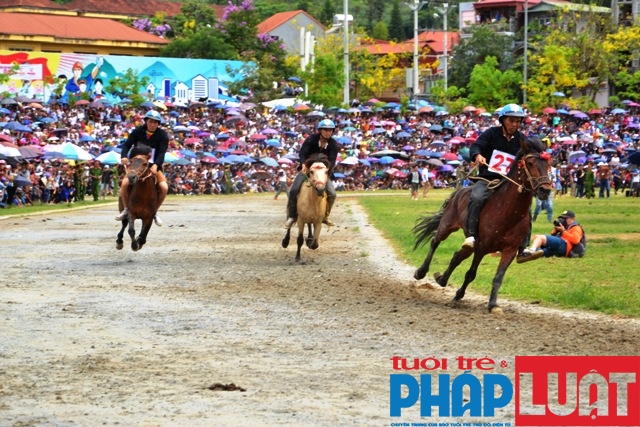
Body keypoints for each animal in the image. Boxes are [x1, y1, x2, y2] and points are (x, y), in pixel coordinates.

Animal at [412, 137, 552, 314]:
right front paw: (459, 294)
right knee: (435, 241)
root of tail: (459, 190)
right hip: (447, 225)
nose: (545, 190)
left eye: (548, 164)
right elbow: (471, 274)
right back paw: (421, 272)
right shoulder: (482, 247)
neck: (507, 212)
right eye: (530, 162)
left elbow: (498, 278)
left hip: (469, 244)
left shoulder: (510, 250)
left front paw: (493, 305)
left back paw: (442, 279)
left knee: (457, 255)